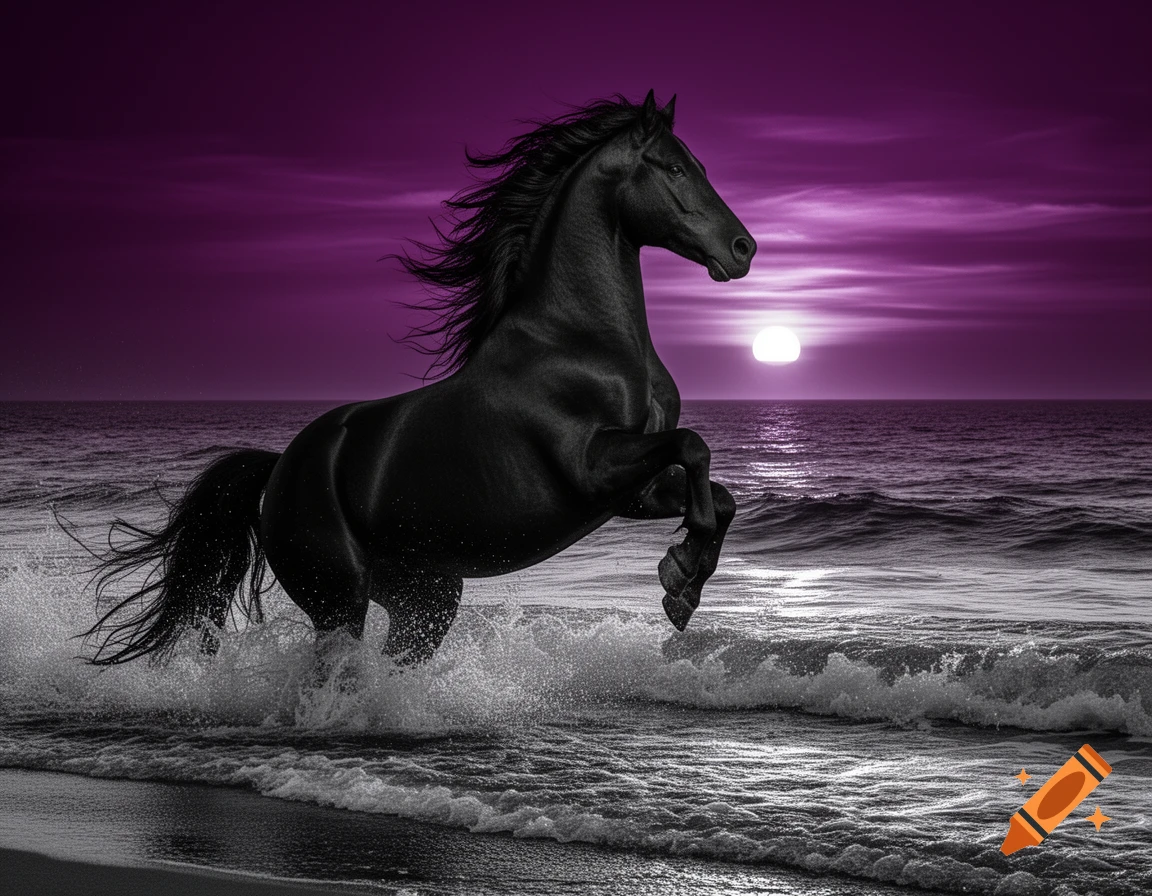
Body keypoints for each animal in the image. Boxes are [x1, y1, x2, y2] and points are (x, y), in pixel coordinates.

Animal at [84, 90, 757, 667]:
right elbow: (695, 446)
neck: (580, 342)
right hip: (338, 597)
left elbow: (718, 493)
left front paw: (682, 585)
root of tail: (278, 470)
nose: (743, 248)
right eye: (673, 168)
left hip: (424, 600)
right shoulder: (591, 470)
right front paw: (678, 574)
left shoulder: (633, 490)